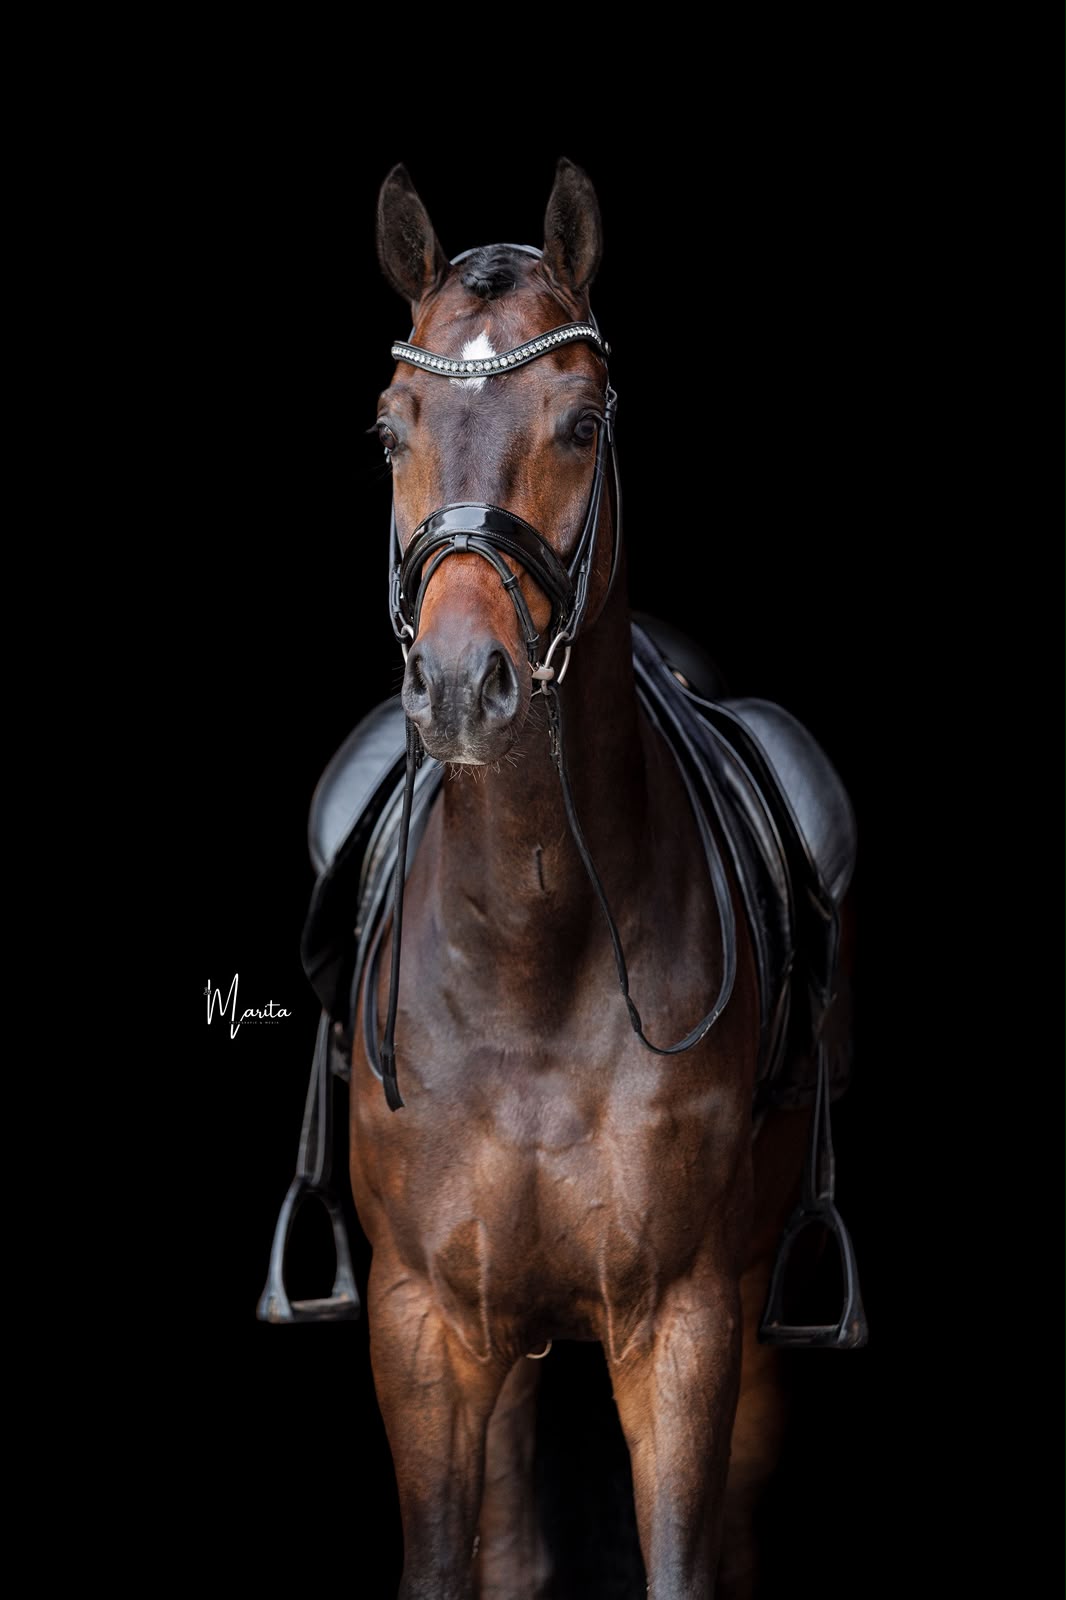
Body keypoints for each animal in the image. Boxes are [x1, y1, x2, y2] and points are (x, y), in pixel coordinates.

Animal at [261, 156, 866, 1598]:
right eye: (390, 429)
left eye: (582, 423)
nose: (459, 688)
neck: (527, 952)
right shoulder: (426, 1325)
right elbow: (453, 1564)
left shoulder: (686, 1326)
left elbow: (681, 1564)